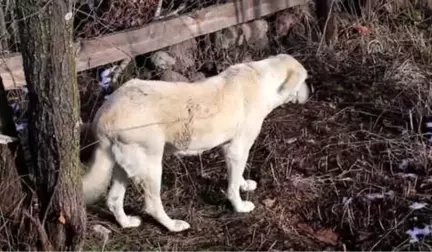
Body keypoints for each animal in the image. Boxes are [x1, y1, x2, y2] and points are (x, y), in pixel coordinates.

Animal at [82, 53, 310, 232]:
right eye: (305, 80)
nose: (311, 93)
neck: (264, 81)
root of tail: (104, 115)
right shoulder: (236, 149)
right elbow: (232, 186)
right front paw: (239, 207)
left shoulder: (232, 148)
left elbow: (239, 176)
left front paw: (245, 184)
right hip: (151, 167)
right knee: (152, 205)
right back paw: (173, 226)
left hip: (124, 166)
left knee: (113, 200)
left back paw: (127, 223)